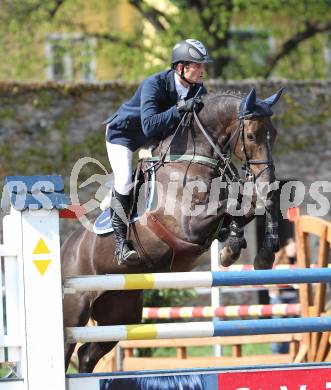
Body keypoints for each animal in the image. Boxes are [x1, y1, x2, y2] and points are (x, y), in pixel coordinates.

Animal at [63, 87, 286, 372]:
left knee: (87, 354)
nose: (267, 179)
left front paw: (261, 252)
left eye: (274, 134)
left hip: (120, 310)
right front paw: (233, 248)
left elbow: (256, 202)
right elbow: (233, 205)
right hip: (74, 309)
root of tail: (66, 248)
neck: (192, 158)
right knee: (67, 347)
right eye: (250, 135)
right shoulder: (187, 225)